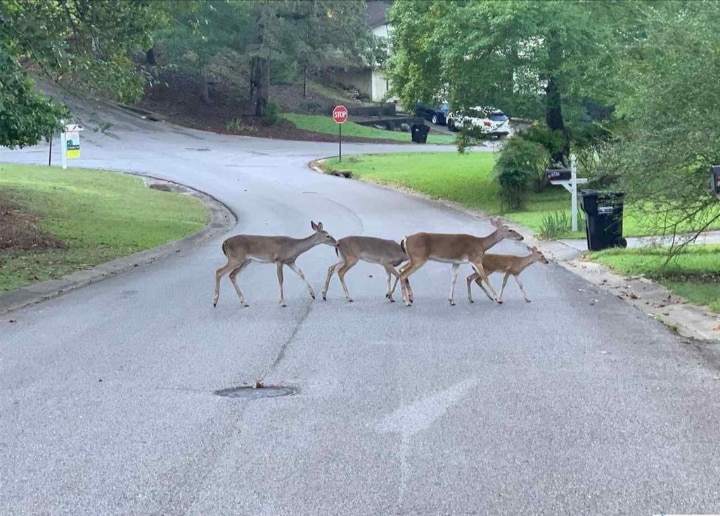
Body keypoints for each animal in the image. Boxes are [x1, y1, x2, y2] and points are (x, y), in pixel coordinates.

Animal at [394, 218, 525, 306]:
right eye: (511, 230)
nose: (522, 237)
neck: (481, 245)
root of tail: (405, 238)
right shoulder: (475, 259)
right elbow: (485, 278)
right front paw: (497, 298)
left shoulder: (456, 262)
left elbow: (454, 279)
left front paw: (451, 300)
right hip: (418, 258)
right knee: (403, 273)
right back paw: (406, 301)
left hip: (413, 258)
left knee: (401, 270)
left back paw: (407, 298)